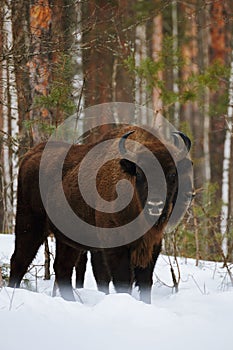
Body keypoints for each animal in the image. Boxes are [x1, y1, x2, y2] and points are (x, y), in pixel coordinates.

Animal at [9, 124, 193, 302]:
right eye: (140, 174)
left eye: (172, 174)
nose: (155, 205)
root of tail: (30, 155)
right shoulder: (114, 247)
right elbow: (121, 280)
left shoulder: (151, 246)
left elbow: (144, 282)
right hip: (29, 225)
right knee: (19, 260)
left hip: (67, 240)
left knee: (62, 267)